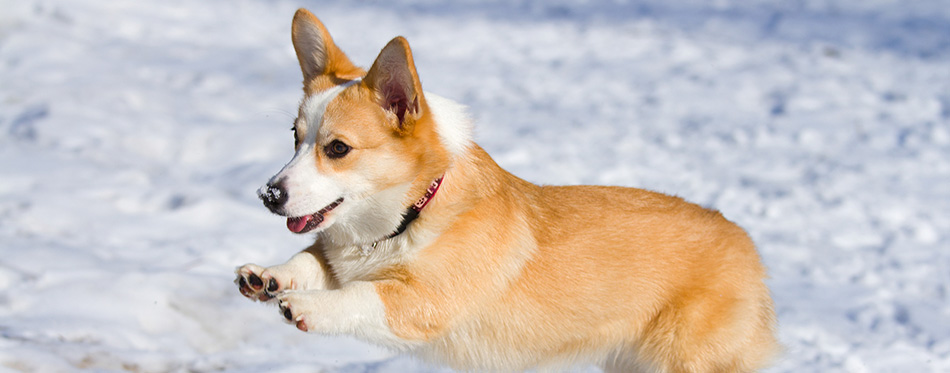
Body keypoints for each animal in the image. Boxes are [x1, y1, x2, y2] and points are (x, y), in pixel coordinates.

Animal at [234, 8, 776, 372]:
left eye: (338, 148)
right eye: (294, 138)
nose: (268, 196)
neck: (412, 211)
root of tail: (748, 246)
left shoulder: (422, 303)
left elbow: (360, 297)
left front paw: (306, 306)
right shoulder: (341, 255)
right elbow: (312, 260)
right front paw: (267, 277)